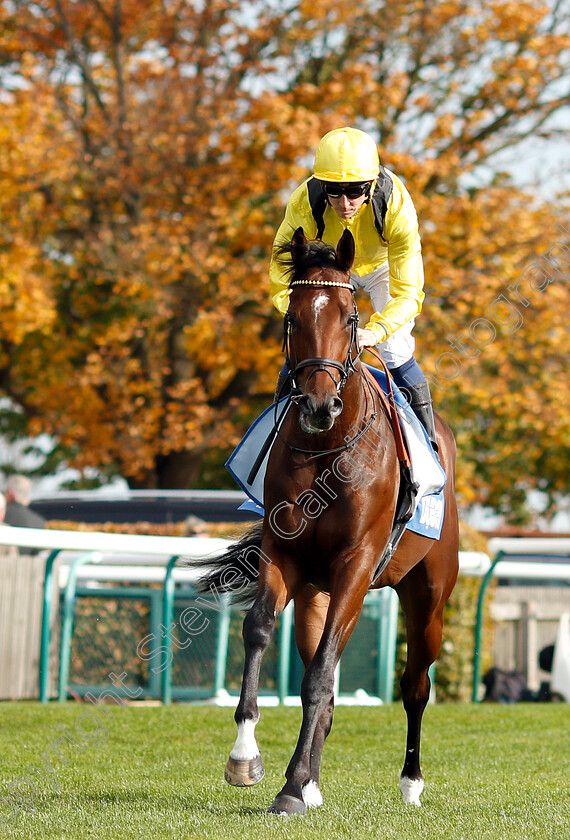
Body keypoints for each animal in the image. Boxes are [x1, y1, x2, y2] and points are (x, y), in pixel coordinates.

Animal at [191, 226, 458, 816]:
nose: (317, 404)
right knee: (328, 674)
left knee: (414, 685)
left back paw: (410, 782)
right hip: (317, 591)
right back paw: (313, 781)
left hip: (428, 594)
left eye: (351, 316)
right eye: (293, 317)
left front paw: (291, 786)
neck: (326, 451)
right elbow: (260, 630)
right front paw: (248, 759)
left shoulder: (355, 564)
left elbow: (318, 677)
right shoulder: (284, 552)